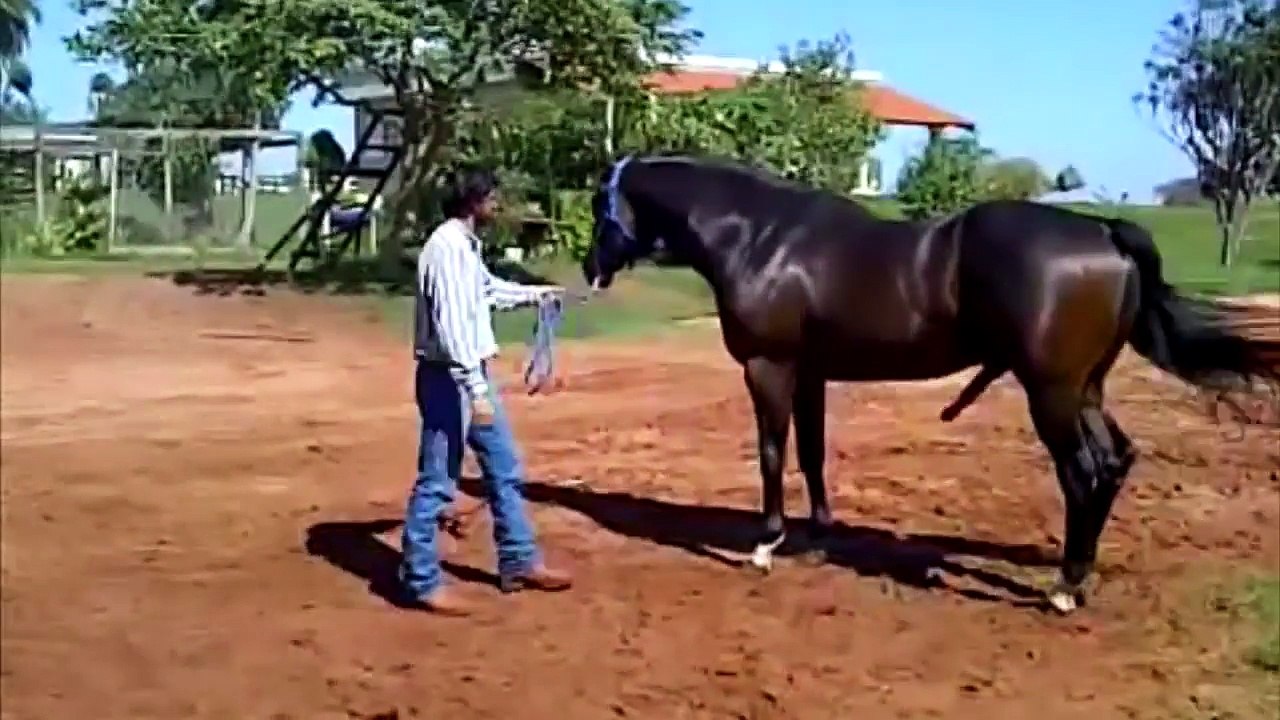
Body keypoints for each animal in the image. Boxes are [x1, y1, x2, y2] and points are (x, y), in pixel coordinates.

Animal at [581, 153, 1279, 614]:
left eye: (599, 207)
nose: (590, 267)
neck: (762, 236)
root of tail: (1104, 231)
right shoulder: (810, 371)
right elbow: (811, 453)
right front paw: (816, 536)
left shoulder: (768, 367)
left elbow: (772, 453)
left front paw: (765, 543)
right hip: (1085, 389)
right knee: (1113, 462)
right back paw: (1080, 574)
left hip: (1051, 392)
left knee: (1083, 473)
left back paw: (1062, 589)